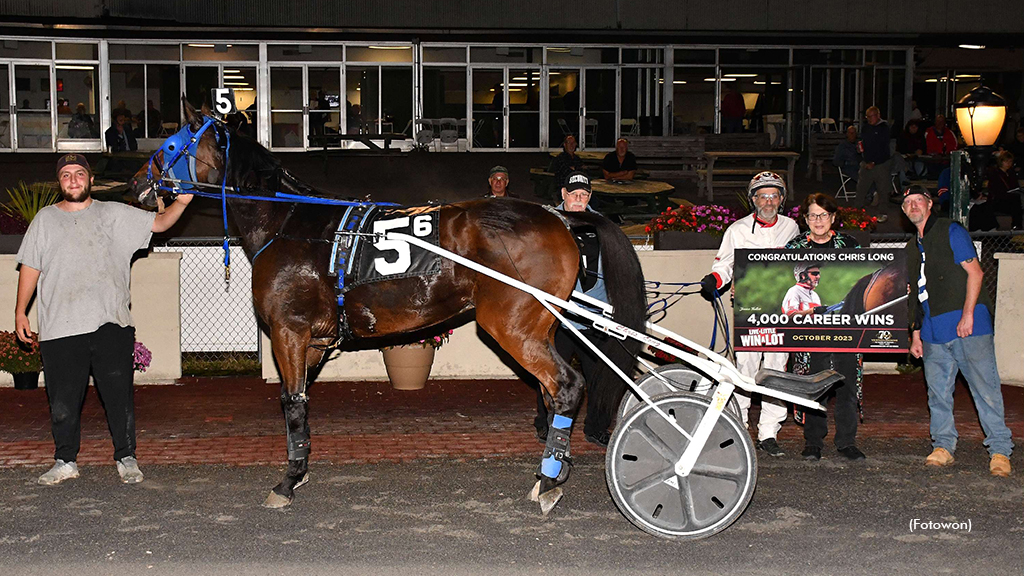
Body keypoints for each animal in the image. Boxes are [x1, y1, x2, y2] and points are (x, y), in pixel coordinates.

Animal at [125, 98, 638, 510]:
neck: (289, 223)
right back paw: (553, 470)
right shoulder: (313, 341)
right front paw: (300, 468)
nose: (135, 183)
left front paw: (286, 481)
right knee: (553, 392)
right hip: (541, 325)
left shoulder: (289, 331)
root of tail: (560, 216)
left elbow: (291, 401)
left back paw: (547, 481)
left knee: (567, 385)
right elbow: (301, 405)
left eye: (170, 145)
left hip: (512, 324)